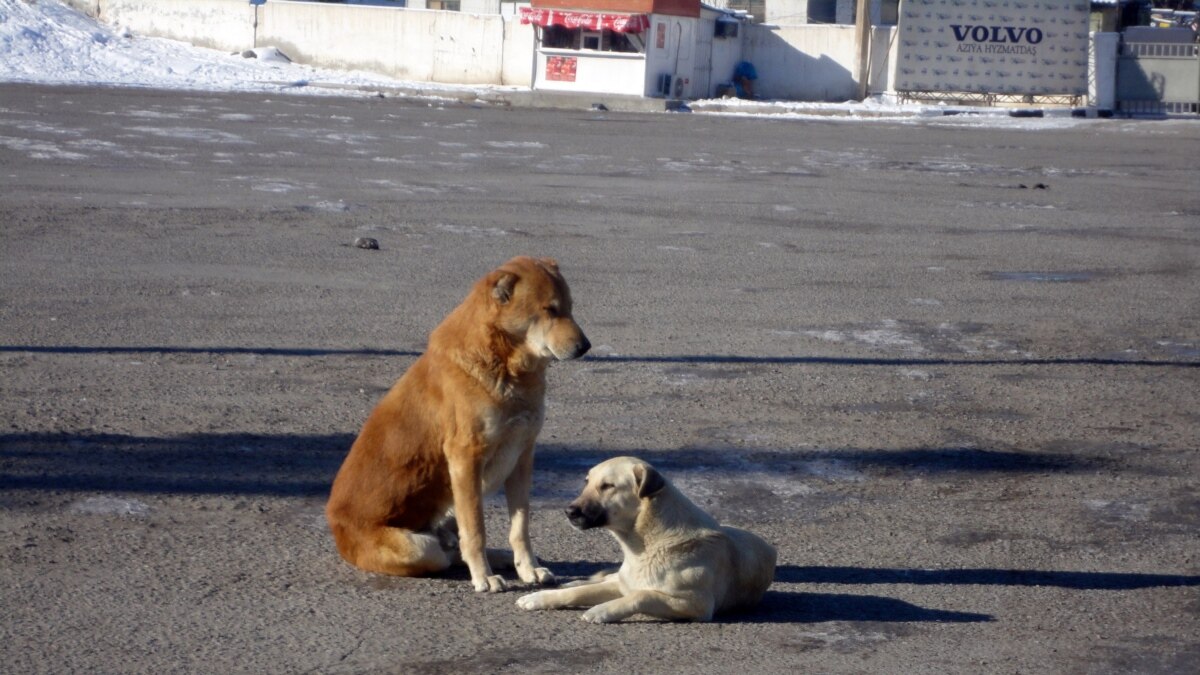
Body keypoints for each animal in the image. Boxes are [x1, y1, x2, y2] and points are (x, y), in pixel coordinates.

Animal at [328, 255, 590, 588]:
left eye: (570, 307)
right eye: (550, 310)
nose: (586, 346)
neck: (506, 364)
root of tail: (335, 523)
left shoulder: (521, 457)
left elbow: (520, 527)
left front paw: (527, 568)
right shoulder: (467, 459)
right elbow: (476, 530)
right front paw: (484, 577)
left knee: (454, 546)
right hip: (421, 548)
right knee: (448, 552)